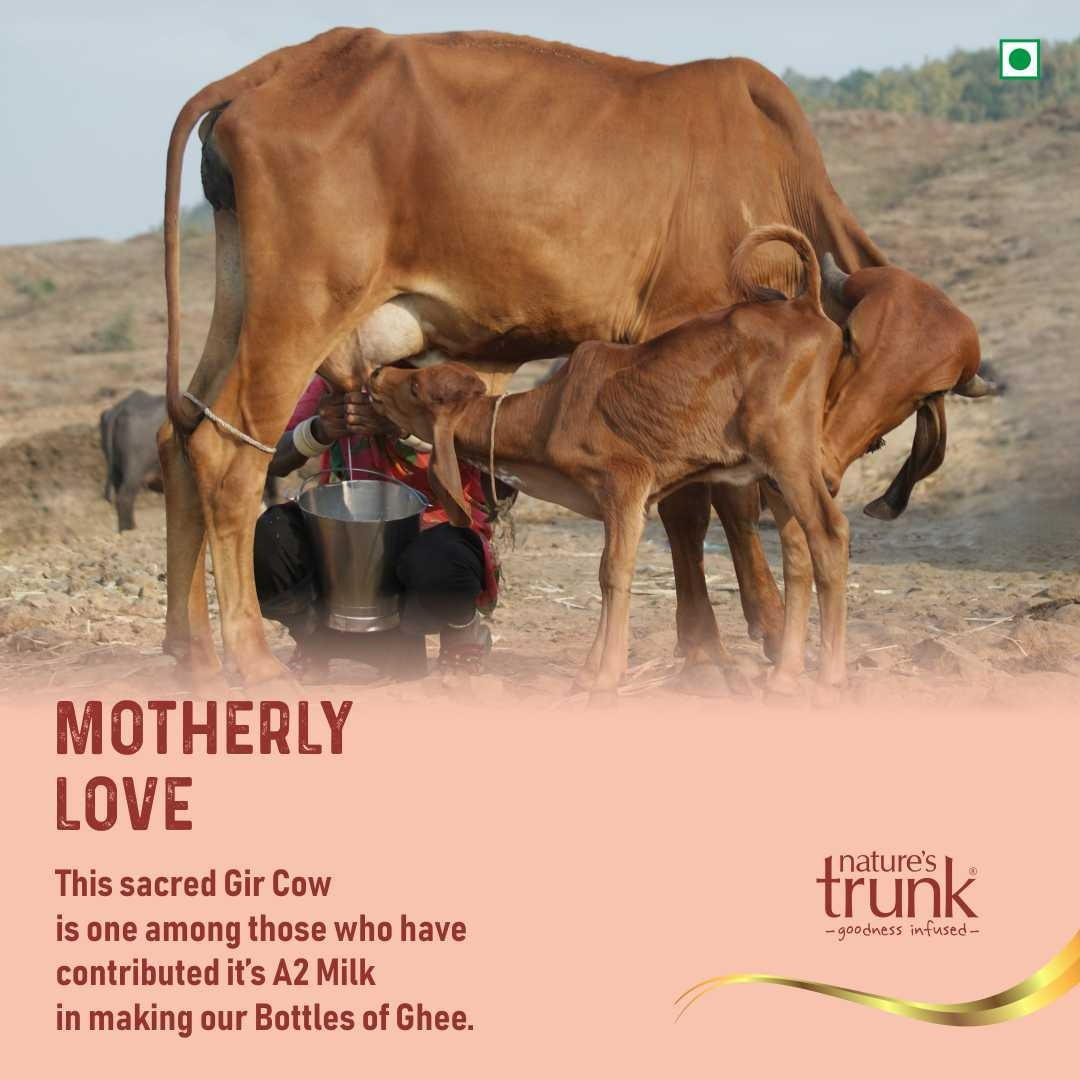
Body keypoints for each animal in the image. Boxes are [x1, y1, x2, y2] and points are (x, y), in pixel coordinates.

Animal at [158, 28, 984, 689]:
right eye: (856, 348)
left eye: (919, 398)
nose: (832, 463)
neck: (763, 167)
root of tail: (275, 70)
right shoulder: (681, 328)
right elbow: (703, 505)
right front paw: (729, 639)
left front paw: (732, 635)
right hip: (296, 310)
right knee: (227, 459)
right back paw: (251, 658)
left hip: (240, 302)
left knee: (179, 439)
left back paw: (190, 650)